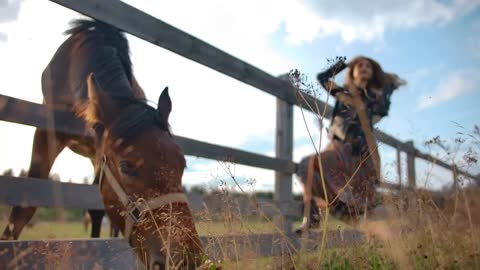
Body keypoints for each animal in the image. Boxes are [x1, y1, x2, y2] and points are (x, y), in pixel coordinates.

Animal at [0, 19, 204, 270]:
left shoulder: (99, 154)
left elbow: (96, 211)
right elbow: (24, 207)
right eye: (126, 166)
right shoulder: (47, 132)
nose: (186, 260)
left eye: (182, 164)